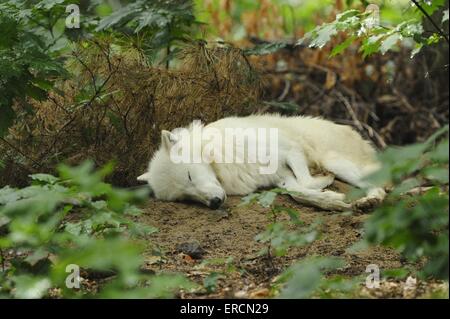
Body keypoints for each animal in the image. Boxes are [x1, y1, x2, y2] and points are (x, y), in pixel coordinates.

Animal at [135, 115, 384, 212]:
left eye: (189, 175)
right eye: (184, 198)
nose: (214, 203)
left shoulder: (289, 151)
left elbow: (304, 183)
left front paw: (325, 185)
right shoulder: (280, 176)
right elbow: (297, 192)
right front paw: (329, 199)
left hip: (338, 163)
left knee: (381, 187)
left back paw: (370, 201)